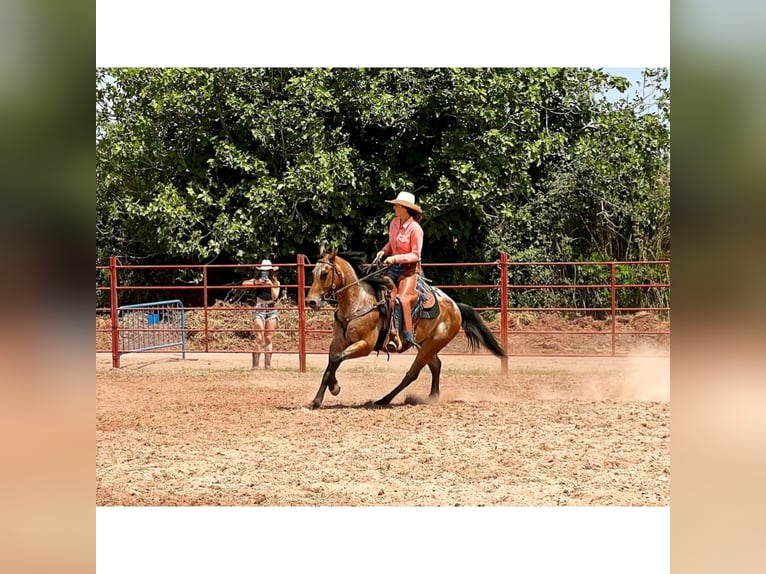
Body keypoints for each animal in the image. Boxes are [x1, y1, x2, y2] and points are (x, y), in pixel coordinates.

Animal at [304, 251, 508, 410]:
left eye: (324, 273)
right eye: (313, 272)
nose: (311, 301)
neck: (358, 301)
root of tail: (455, 306)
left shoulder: (365, 345)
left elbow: (337, 358)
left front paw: (335, 388)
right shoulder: (338, 342)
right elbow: (331, 363)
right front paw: (317, 400)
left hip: (432, 345)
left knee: (412, 373)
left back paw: (384, 400)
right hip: (427, 345)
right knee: (436, 366)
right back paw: (431, 397)